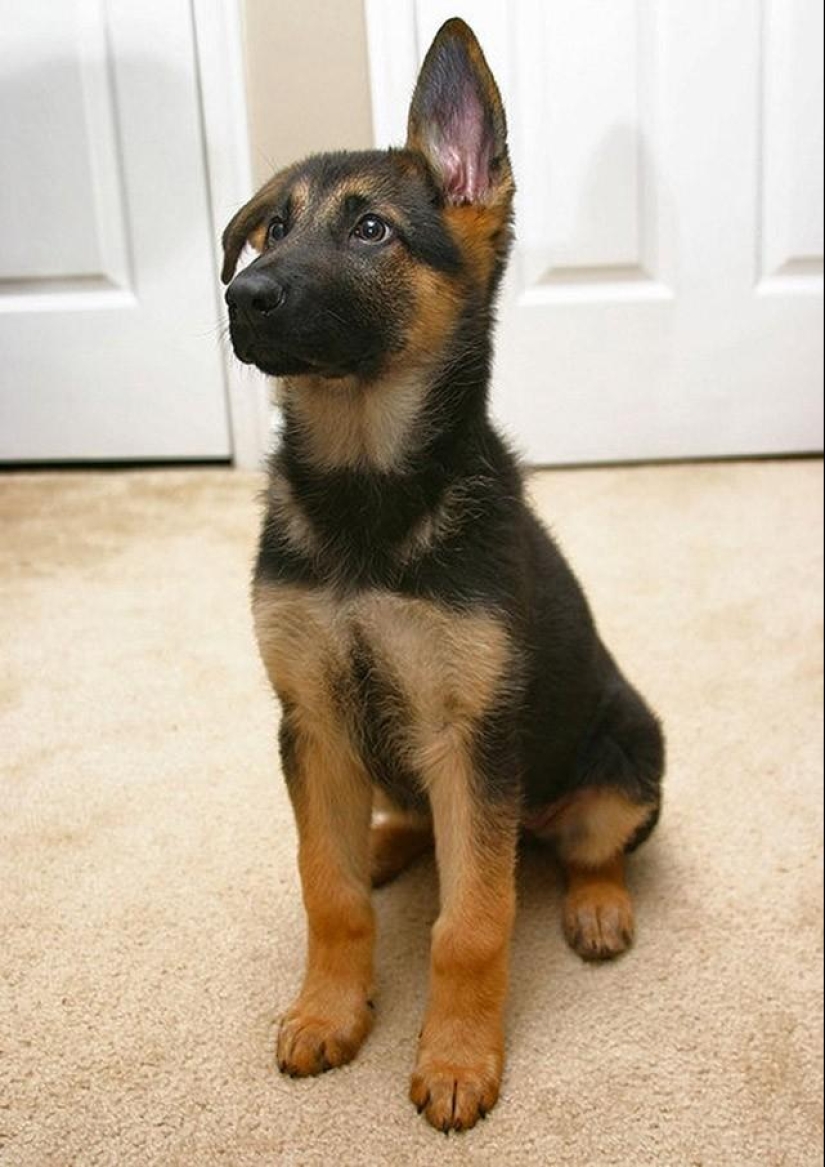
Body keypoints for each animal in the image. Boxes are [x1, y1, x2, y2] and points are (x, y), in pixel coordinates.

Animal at [219, 15, 662, 1129]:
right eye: (270, 230)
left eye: (372, 231)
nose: (241, 296)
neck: (367, 492)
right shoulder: (310, 715)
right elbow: (324, 890)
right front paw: (330, 1010)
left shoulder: (474, 736)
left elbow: (472, 922)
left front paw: (458, 1058)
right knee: (405, 823)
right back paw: (382, 841)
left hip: (627, 751)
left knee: (584, 847)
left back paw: (596, 906)